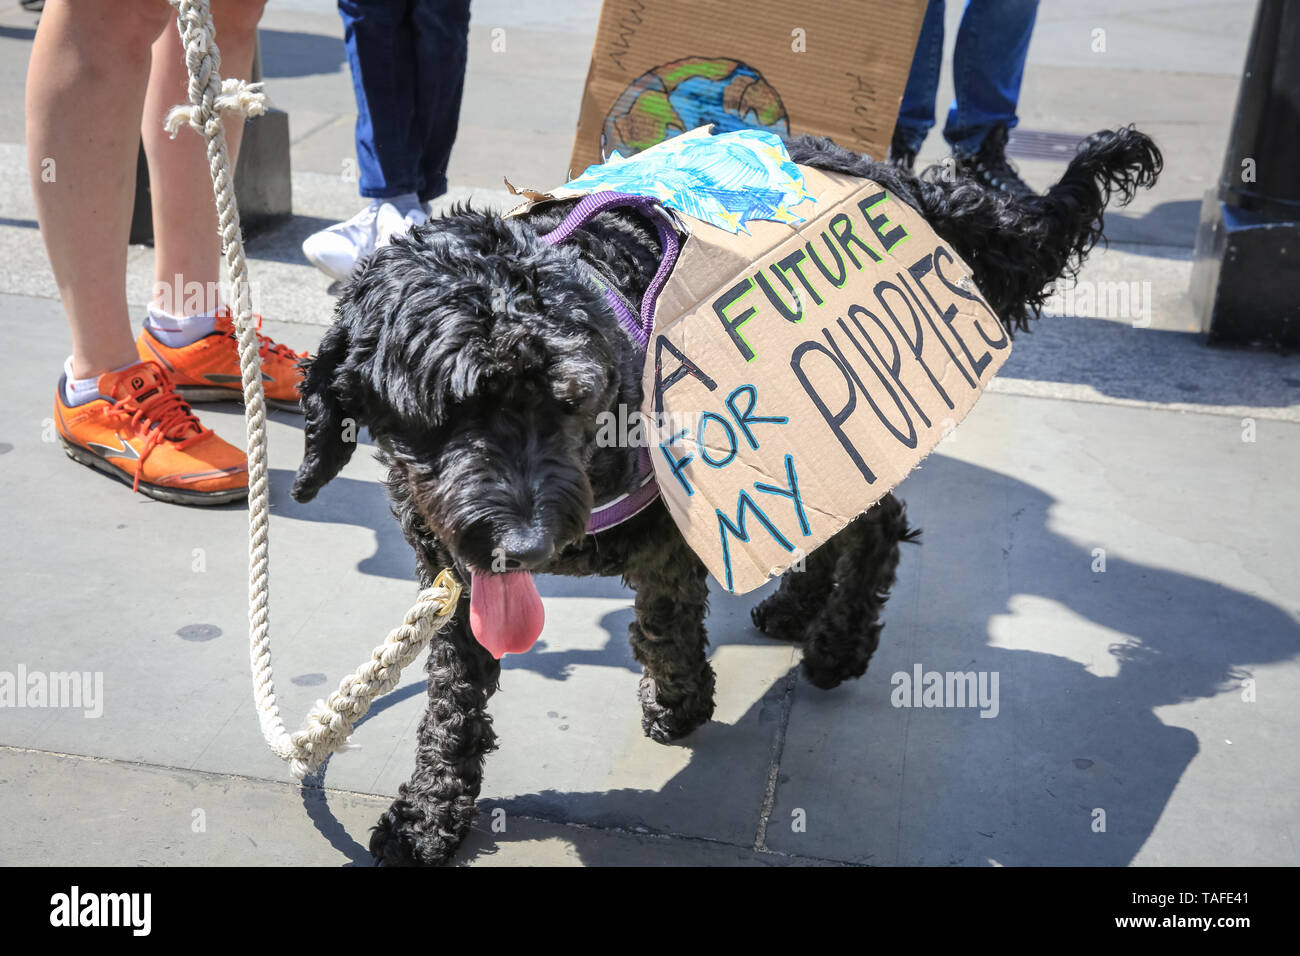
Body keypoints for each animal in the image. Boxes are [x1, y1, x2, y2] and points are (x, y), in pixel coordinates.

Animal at [287, 128, 1159, 868]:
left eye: (569, 398)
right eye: (448, 412)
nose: (527, 544)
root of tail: (899, 177)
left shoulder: (669, 541)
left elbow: (665, 628)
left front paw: (682, 703)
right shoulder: (465, 580)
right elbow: (454, 699)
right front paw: (430, 813)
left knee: (876, 529)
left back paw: (837, 643)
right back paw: (797, 605)